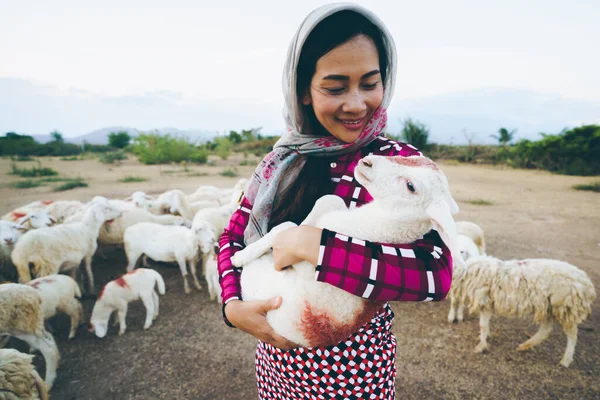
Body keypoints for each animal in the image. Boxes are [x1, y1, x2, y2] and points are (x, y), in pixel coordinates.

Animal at [231, 155, 464, 348]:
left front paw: (238, 257)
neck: (370, 227)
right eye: (410, 157)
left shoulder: (306, 264)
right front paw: (307, 221)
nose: (367, 162)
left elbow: (286, 228)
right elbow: (326, 201)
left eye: (411, 186)